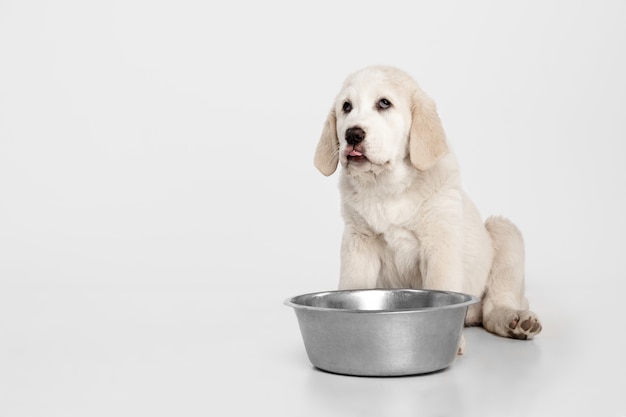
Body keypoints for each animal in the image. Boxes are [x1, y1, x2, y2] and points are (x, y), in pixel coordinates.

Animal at [314, 66, 540, 348]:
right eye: (346, 107)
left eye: (384, 103)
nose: (352, 134)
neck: (389, 188)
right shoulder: (358, 242)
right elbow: (352, 284)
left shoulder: (440, 243)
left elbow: (440, 283)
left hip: (504, 231)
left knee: (495, 306)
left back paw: (516, 320)